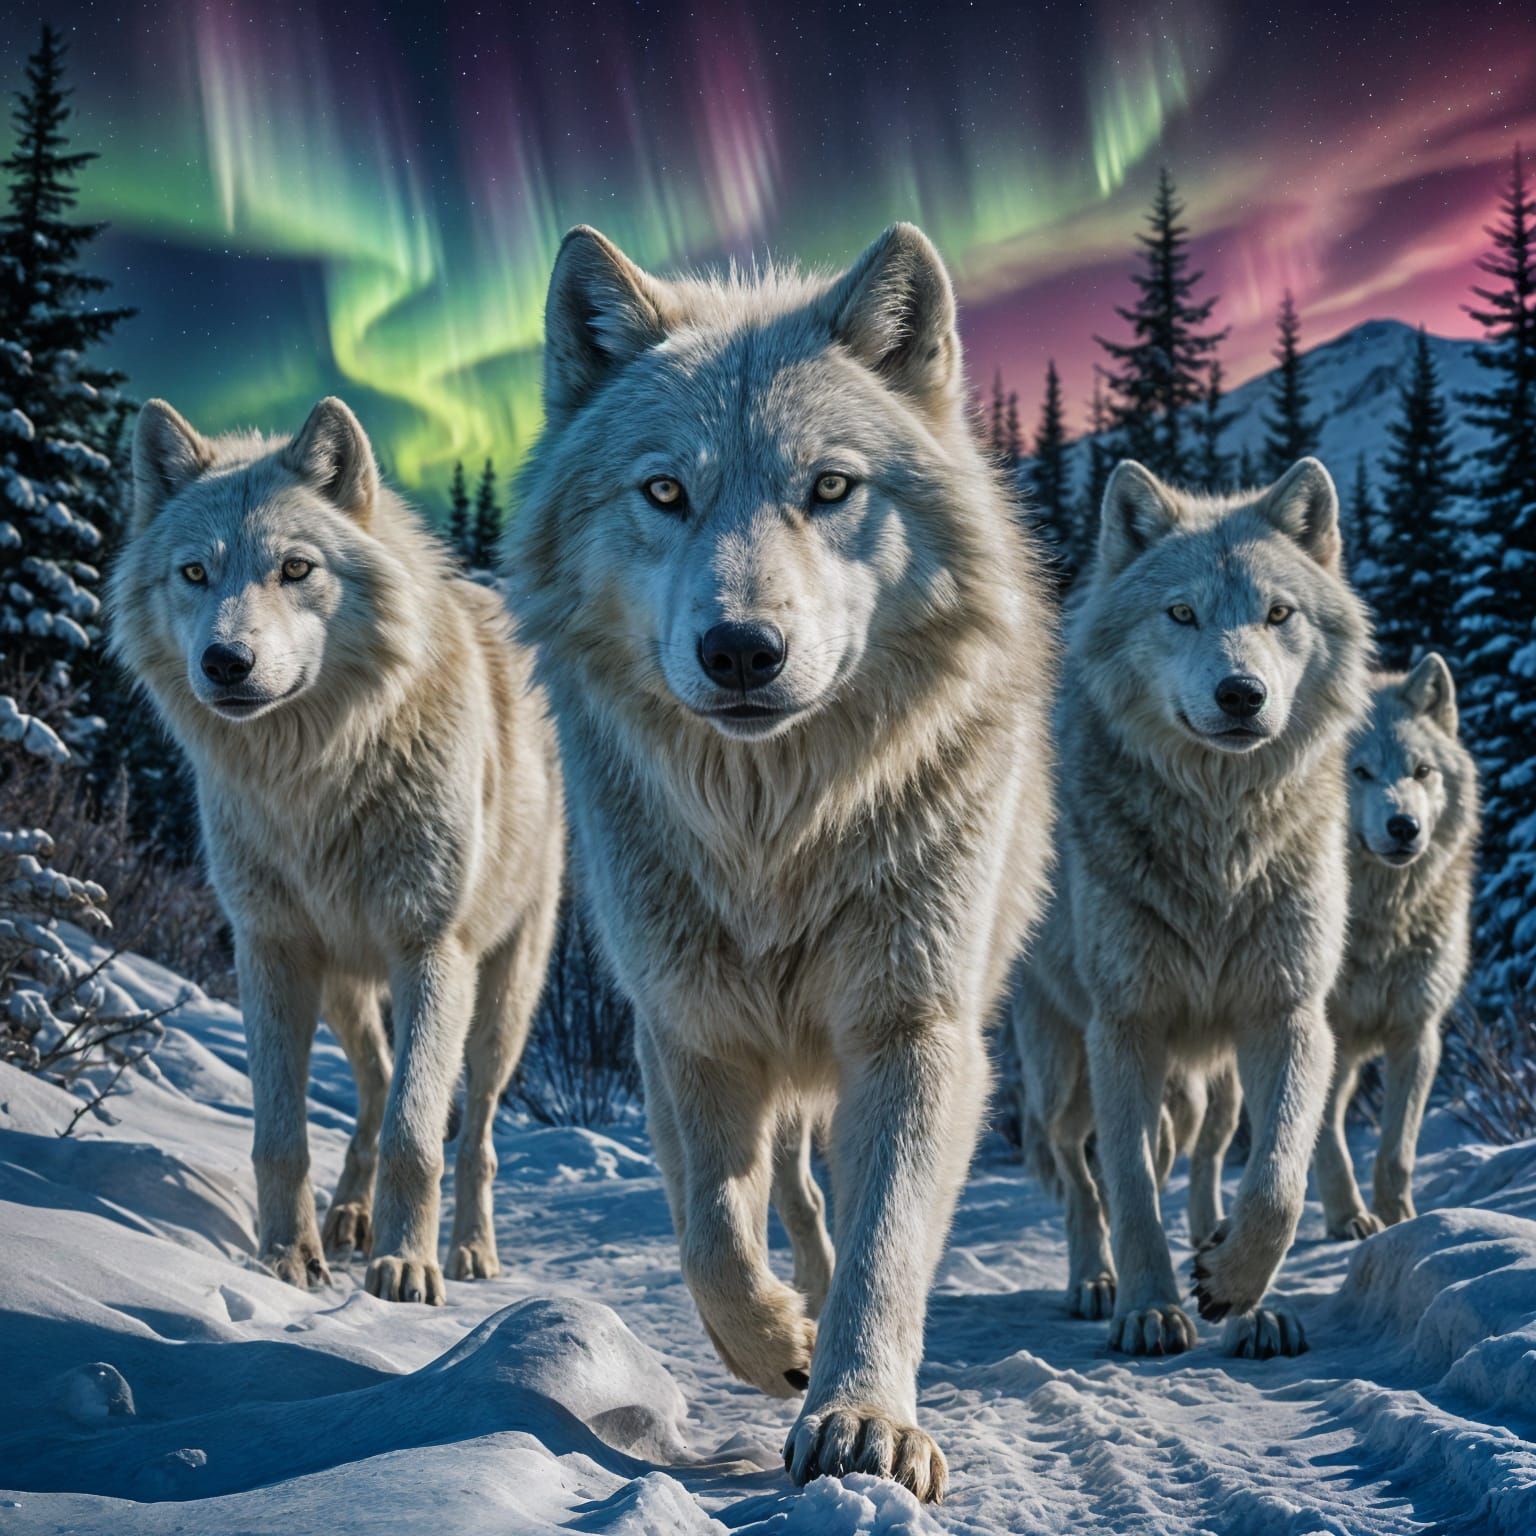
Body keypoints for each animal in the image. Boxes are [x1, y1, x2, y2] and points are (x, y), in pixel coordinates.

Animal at [110, 397, 563, 1303]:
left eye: (295, 568)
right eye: (193, 573)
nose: (226, 660)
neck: (316, 778)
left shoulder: (432, 951)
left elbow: (418, 1135)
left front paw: (406, 1267)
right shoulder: (271, 950)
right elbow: (280, 1134)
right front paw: (289, 1260)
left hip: (503, 998)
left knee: (473, 1133)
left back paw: (469, 1248)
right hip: (345, 988)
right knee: (376, 1083)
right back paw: (349, 1217)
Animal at [506, 223, 1056, 1500]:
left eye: (832, 488)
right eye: (666, 491)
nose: (743, 649)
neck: (778, 836)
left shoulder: (914, 1033)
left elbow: (887, 1243)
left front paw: (863, 1421)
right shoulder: (688, 1032)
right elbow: (710, 1232)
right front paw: (779, 1347)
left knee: (834, 1200)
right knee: (788, 1192)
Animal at [1012, 457, 1369, 1359]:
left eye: (1278, 614)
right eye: (1181, 613)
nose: (1242, 693)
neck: (1220, 843)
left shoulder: (1289, 1016)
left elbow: (1276, 1180)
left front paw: (1242, 1293)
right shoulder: (1125, 1028)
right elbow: (1132, 1184)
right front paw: (1149, 1309)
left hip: (1218, 1079)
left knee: (1205, 1157)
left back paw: (1212, 1248)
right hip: (1063, 1070)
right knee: (1081, 1171)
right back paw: (1095, 1281)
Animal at [1315, 655, 1477, 1239]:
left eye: (1421, 771)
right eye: (1358, 771)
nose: (1404, 826)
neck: (1381, 922)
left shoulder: (1418, 1032)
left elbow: (1396, 1149)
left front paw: (1402, 1217)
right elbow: (1328, 1141)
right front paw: (1349, 1218)